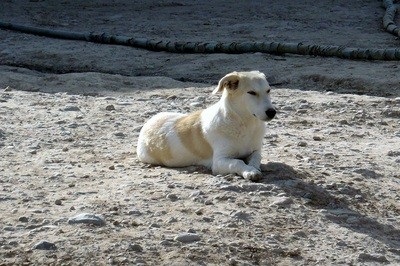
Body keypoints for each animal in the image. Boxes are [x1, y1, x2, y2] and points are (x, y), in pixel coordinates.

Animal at [137, 70, 276, 181]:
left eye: (268, 91)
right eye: (251, 92)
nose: (272, 112)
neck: (245, 124)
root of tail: (148, 123)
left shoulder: (255, 150)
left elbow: (255, 159)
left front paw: (252, 168)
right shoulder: (219, 161)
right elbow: (237, 162)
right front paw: (250, 171)